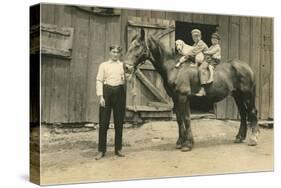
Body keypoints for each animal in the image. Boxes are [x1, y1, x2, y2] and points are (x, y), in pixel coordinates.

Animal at [124, 28, 258, 152]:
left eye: (137, 45)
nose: (126, 67)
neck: (175, 69)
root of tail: (247, 67)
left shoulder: (183, 97)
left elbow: (186, 119)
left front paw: (187, 144)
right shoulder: (176, 99)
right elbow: (179, 119)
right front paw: (180, 142)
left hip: (247, 95)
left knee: (252, 112)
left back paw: (253, 139)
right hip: (237, 96)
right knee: (243, 114)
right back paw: (239, 137)